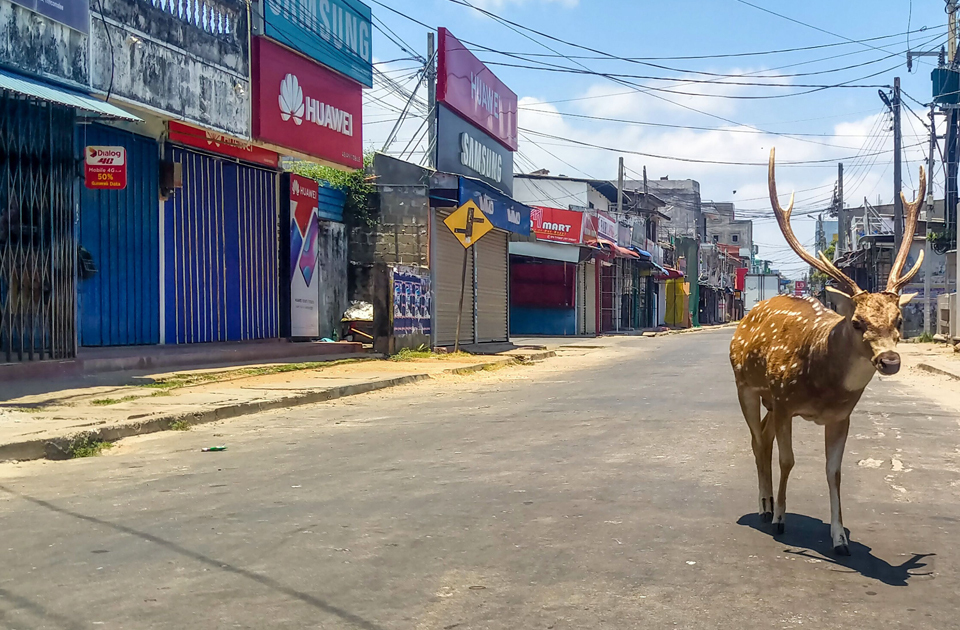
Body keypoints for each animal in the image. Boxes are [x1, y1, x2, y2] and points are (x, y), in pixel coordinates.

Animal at [732, 149, 928, 556]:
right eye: (856, 322)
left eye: (899, 319)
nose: (890, 360)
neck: (821, 383)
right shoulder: (785, 401)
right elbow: (789, 460)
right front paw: (781, 520)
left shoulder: (841, 416)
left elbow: (833, 472)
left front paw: (840, 537)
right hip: (745, 383)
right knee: (757, 440)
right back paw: (764, 507)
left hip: (768, 399)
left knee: (763, 437)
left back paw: (768, 502)